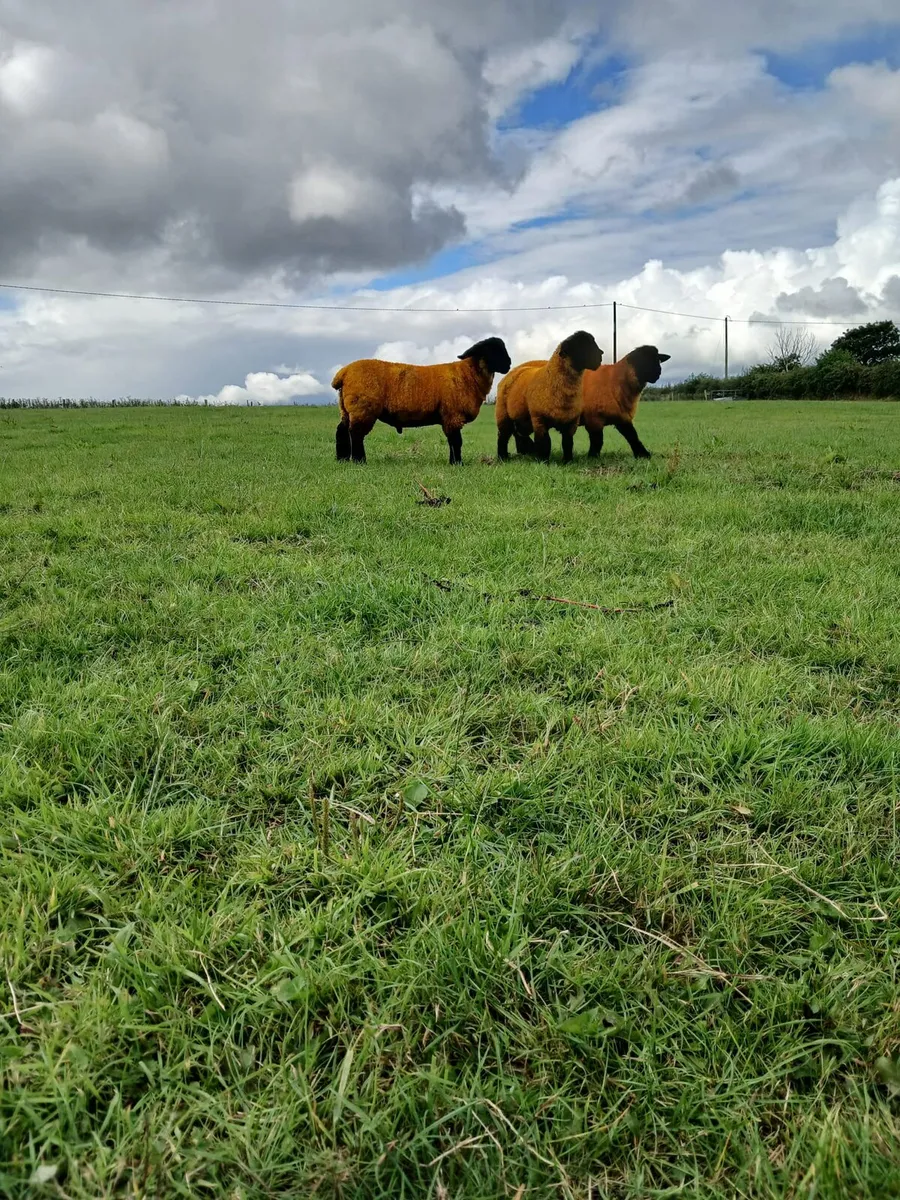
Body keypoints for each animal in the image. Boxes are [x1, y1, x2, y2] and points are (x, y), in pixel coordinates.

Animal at [332, 337, 512, 465]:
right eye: (493, 350)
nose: (509, 364)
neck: (468, 374)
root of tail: (343, 373)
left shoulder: (448, 418)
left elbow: (451, 442)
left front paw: (452, 462)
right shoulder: (453, 415)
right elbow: (456, 441)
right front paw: (458, 463)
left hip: (346, 408)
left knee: (342, 430)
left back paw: (342, 460)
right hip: (362, 408)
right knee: (356, 434)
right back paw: (359, 461)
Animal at [495, 331, 604, 463]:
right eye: (581, 345)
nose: (601, 354)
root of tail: (516, 370)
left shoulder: (571, 422)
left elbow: (568, 443)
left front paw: (567, 461)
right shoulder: (539, 419)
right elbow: (545, 442)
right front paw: (543, 461)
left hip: (521, 419)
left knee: (519, 435)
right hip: (503, 414)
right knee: (503, 437)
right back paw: (503, 457)